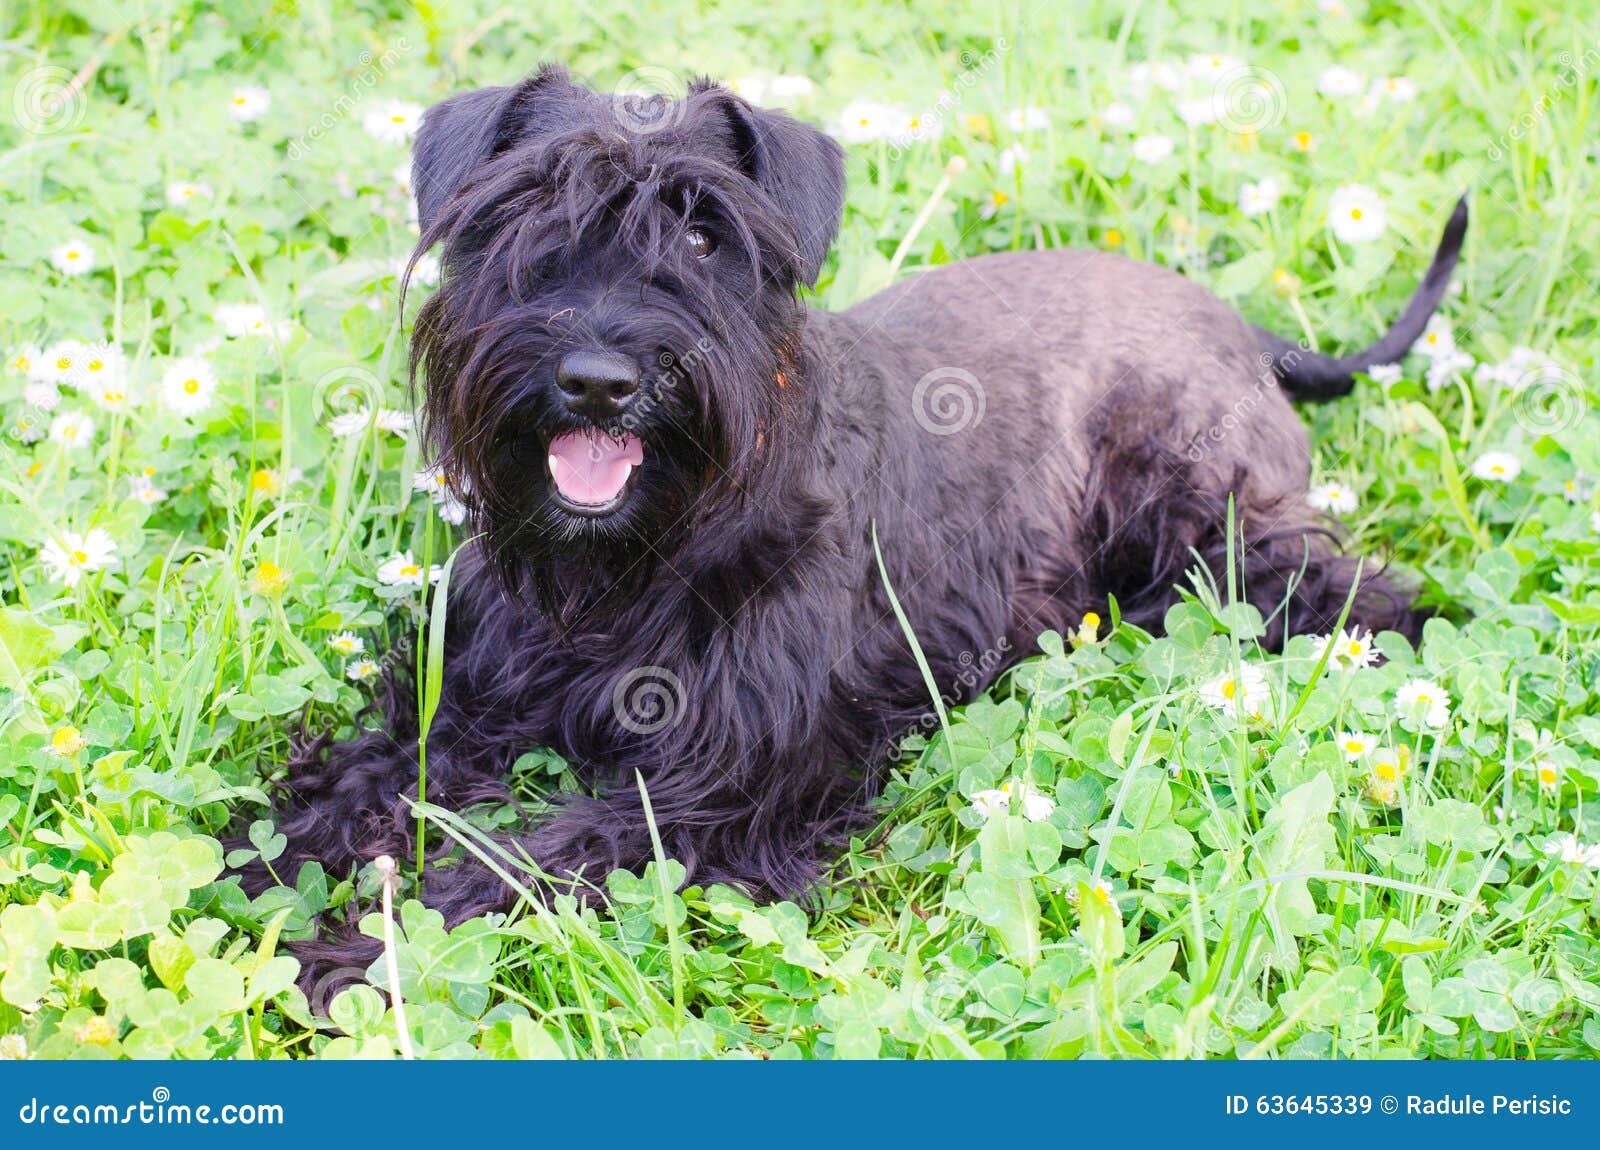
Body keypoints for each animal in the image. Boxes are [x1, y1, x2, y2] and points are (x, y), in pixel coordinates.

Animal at [256, 67, 1465, 978]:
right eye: (517, 211)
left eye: (705, 236)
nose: (597, 379)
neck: (626, 561)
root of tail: (1246, 331)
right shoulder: (466, 703)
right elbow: (345, 786)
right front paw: (256, 865)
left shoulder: (719, 787)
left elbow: (525, 864)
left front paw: (355, 957)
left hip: (1211, 535)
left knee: (1358, 593)